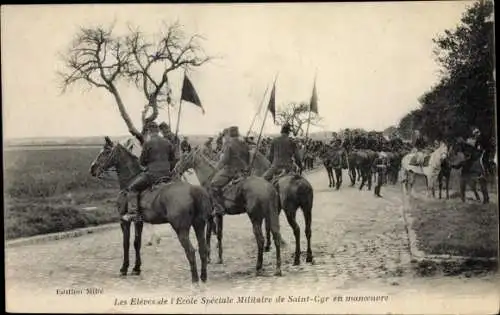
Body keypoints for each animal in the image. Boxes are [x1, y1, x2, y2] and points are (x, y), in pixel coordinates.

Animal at [90, 136, 211, 284]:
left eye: (106, 152)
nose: (92, 169)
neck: (130, 180)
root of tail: (193, 189)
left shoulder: (124, 221)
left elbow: (126, 244)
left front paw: (124, 269)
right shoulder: (139, 221)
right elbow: (137, 243)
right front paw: (136, 269)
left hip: (181, 228)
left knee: (191, 251)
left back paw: (195, 280)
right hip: (199, 224)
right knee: (203, 250)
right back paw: (203, 278)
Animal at [173, 146, 282, 276]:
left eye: (185, 157)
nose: (175, 169)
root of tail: (268, 187)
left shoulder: (210, 216)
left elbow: (208, 235)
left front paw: (209, 257)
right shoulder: (219, 216)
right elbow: (219, 235)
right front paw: (219, 258)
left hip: (256, 218)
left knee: (260, 239)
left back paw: (258, 267)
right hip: (271, 215)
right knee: (276, 236)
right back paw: (278, 269)